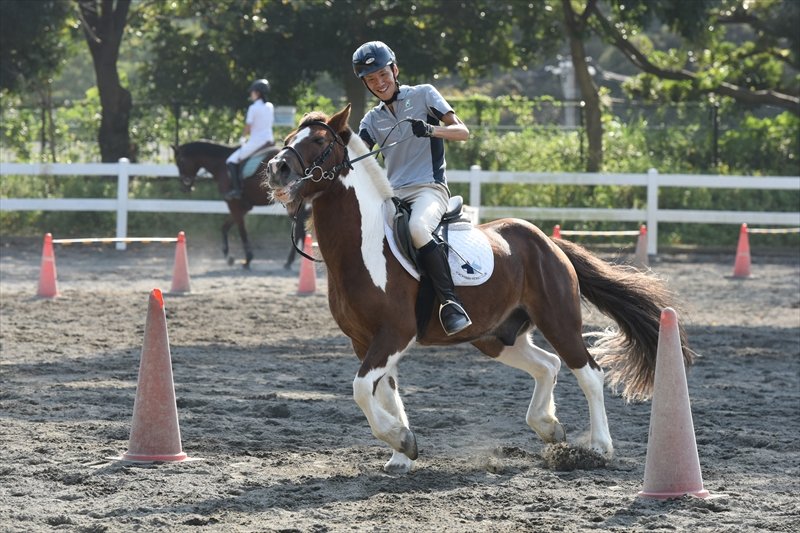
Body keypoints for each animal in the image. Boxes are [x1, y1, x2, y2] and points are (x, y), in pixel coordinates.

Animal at [172, 141, 308, 269]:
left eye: (180, 161)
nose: (185, 187)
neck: (221, 165)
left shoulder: (234, 205)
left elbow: (242, 231)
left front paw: (247, 260)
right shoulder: (243, 208)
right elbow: (224, 228)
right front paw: (228, 257)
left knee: (299, 229)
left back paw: (290, 261)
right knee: (301, 229)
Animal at [265, 105, 693, 475]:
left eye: (319, 141)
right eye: (288, 138)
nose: (276, 169)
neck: (365, 245)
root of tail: (547, 242)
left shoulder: (394, 334)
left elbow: (359, 389)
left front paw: (401, 441)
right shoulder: (364, 341)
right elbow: (382, 393)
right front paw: (402, 451)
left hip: (558, 321)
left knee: (588, 372)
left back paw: (600, 447)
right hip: (495, 336)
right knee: (548, 365)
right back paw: (548, 426)